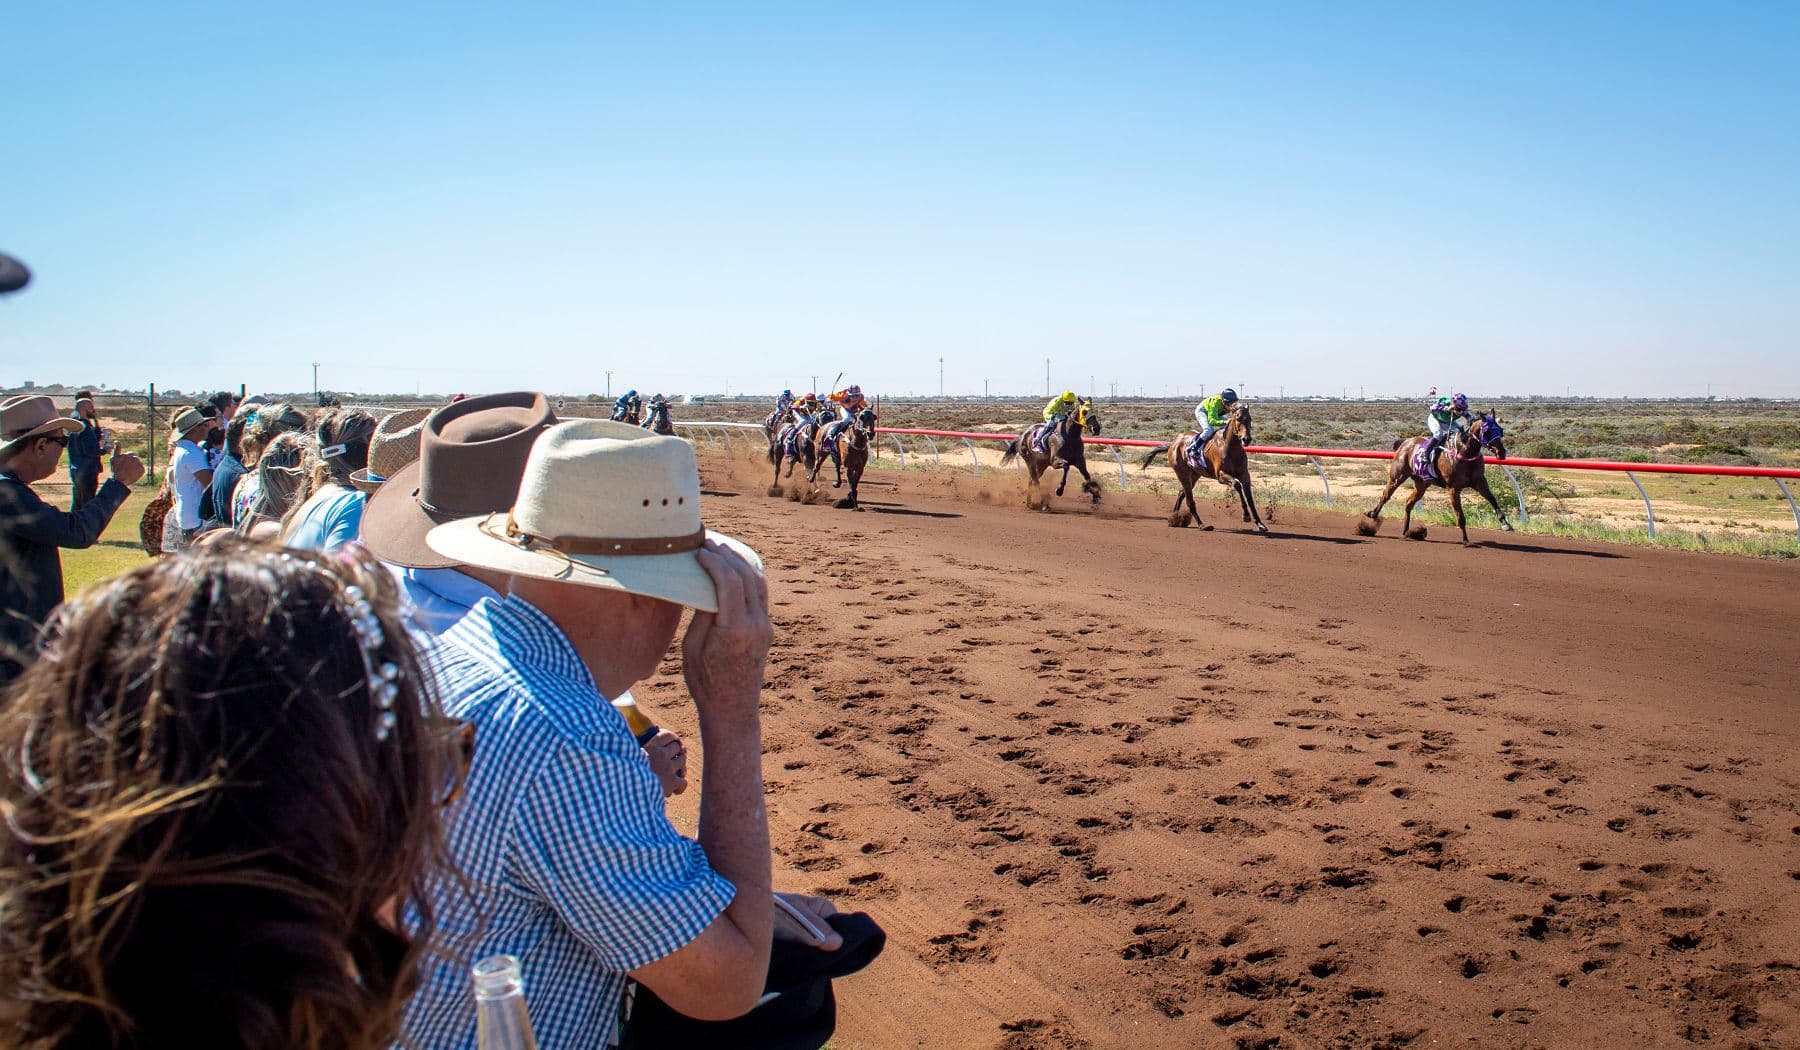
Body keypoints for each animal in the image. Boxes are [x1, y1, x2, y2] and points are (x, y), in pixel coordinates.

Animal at [1137, 403, 1267, 533]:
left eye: (1249, 419)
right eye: (1238, 418)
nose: (1246, 439)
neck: (1231, 447)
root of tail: (1173, 444)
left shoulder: (1244, 474)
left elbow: (1250, 498)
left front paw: (1260, 524)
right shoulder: (1220, 475)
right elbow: (1237, 485)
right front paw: (1246, 515)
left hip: (1194, 474)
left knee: (1181, 493)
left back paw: (1175, 518)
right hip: (1182, 473)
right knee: (1189, 501)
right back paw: (1201, 525)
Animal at [1353, 410, 1512, 547]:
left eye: (1500, 429)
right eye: (1487, 431)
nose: (1501, 452)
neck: (1464, 451)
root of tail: (1405, 442)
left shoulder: (1480, 482)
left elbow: (1493, 499)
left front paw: (1506, 523)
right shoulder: (1453, 488)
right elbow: (1460, 516)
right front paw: (1466, 541)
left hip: (1421, 484)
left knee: (1408, 503)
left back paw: (1407, 532)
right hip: (1397, 477)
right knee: (1385, 495)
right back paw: (1372, 515)